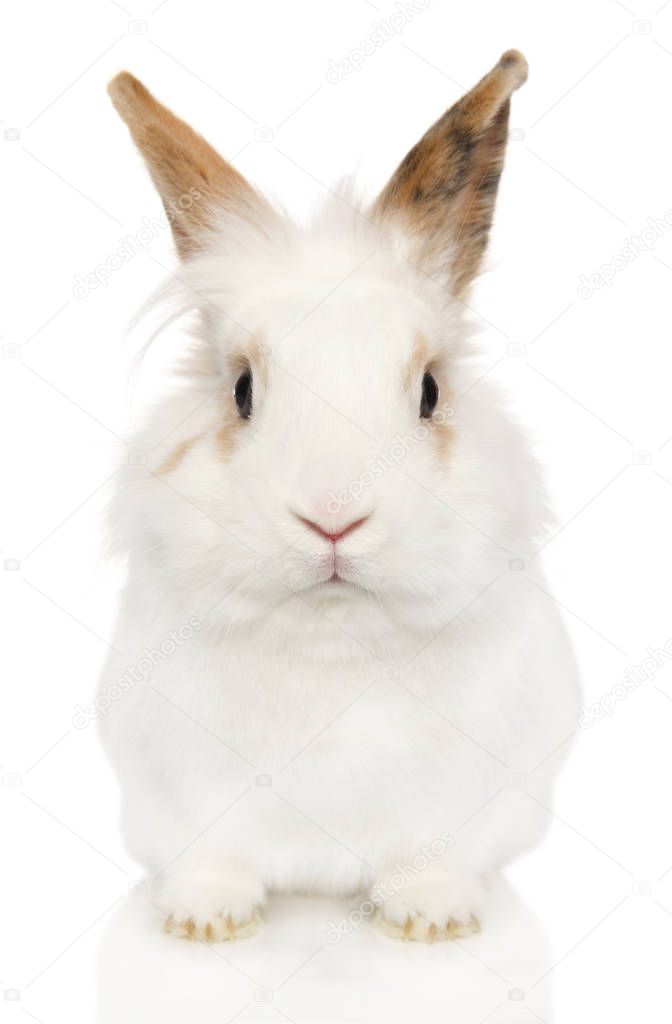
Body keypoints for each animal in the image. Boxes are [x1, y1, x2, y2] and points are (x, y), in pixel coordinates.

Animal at [98, 50, 580, 944]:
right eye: (243, 390)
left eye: (429, 391)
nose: (332, 518)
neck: (332, 637)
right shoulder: (183, 793)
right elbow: (214, 855)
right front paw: (205, 921)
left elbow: (428, 856)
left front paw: (431, 921)